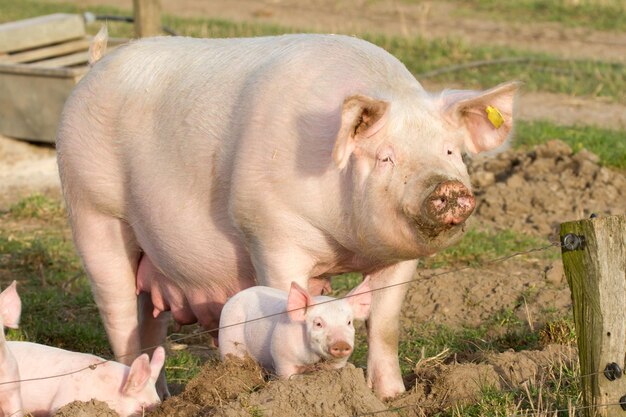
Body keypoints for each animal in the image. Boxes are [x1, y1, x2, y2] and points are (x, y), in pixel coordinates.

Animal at [57, 32, 516, 396]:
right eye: (386, 157)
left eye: (451, 151)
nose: (448, 187)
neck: (346, 244)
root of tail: (96, 64)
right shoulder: (270, 232)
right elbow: (283, 302)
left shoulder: (401, 259)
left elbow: (385, 326)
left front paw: (392, 397)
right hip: (91, 213)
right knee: (119, 319)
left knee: (150, 329)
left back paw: (165, 399)